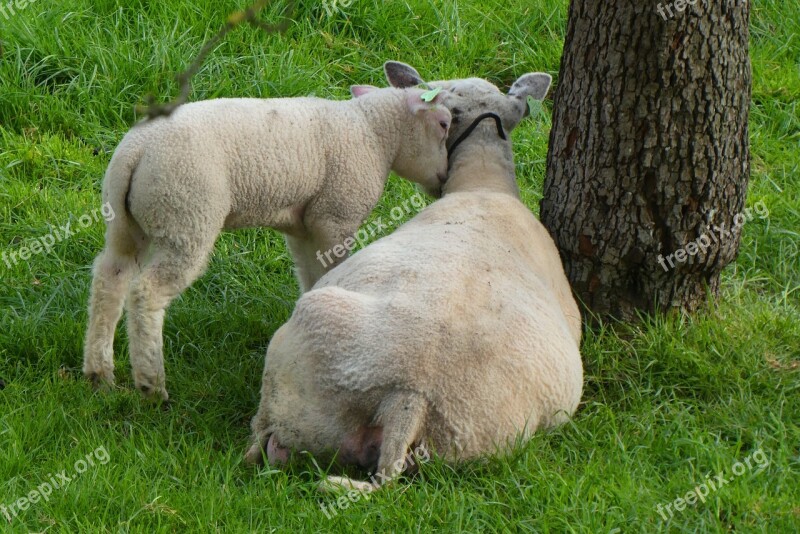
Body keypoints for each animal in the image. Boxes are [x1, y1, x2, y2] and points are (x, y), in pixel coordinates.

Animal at [85, 78, 456, 402]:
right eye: (443, 124)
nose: (443, 179)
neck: (374, 132)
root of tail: (135, 151)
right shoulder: (335, 216)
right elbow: (334, 270)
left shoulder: (304, 225)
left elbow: (312, 276)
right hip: (186, 214)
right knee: (147, 291)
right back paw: (151, 386)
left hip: (126, 221)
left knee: (110, 277)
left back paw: (99, 374)